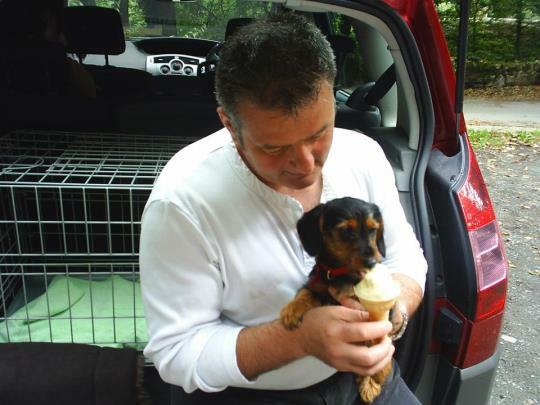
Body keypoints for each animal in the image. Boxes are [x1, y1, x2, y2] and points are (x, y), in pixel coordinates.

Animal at [280, 197, 392, 404]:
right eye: (347, 231)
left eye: (373, 230)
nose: (372, 263)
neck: (341, 272)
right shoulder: (317, 285)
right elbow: (305, 293)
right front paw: (292, 310)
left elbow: (375, 340)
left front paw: (375, 375)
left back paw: (370, 382)